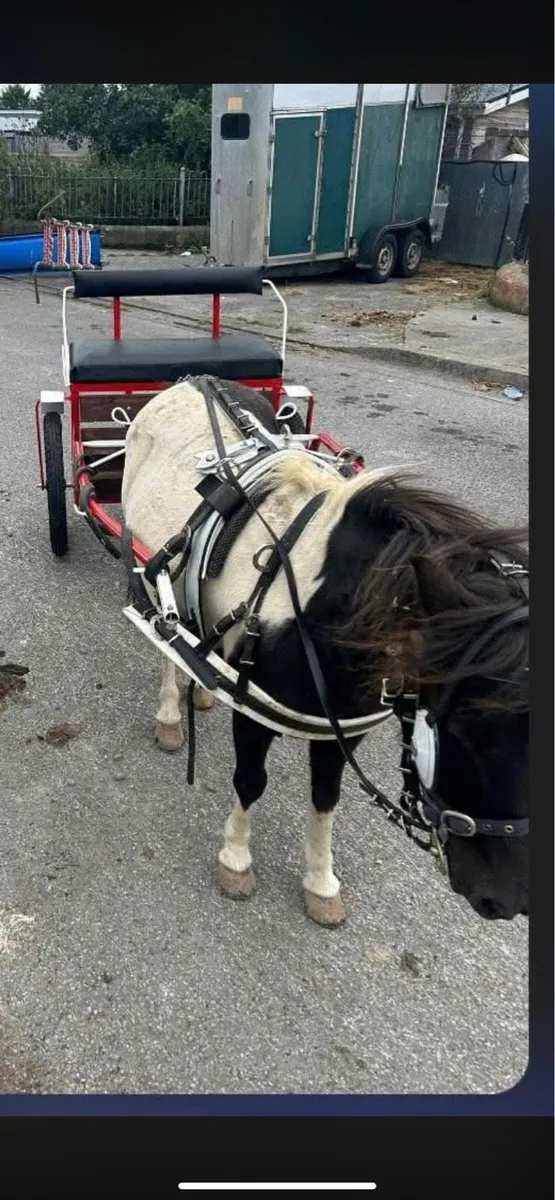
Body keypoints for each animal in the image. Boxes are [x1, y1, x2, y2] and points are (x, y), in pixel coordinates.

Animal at [121, 377, 529, 927]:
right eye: (465, 730)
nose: (505, 899)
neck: (319, 603)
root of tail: (191, 380)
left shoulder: (343, 725)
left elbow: (325, 796)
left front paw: (320, 882)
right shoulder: (254, 712)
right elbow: (250, 781)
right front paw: (236, 859)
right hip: (150, 563)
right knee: (164, 639)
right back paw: (170, 711)